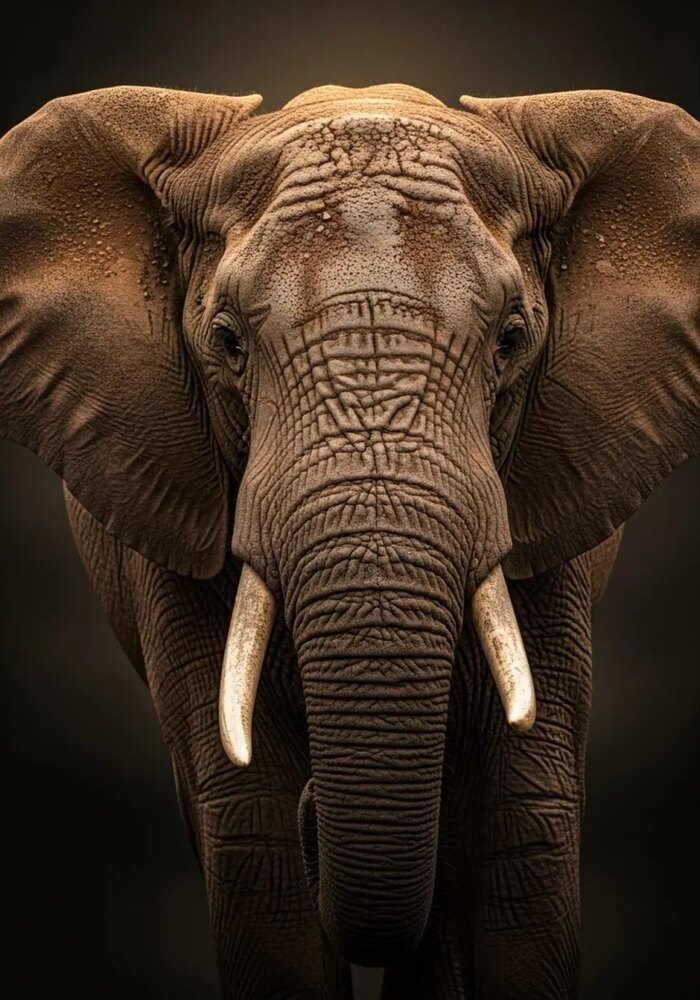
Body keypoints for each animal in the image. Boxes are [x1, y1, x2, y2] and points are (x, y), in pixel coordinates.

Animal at [1, 80, 698, 999]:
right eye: (225, 340)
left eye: (513, 339)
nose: (319, 813)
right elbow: (255, 841)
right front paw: (284, 816)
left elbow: (525, 833)